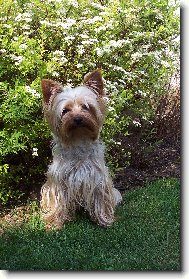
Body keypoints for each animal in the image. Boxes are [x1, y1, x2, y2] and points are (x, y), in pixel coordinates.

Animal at [40, 70, 122, 230]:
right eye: (65, 111)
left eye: (86, 107)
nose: (77, 119)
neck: (78, 139)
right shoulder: (59, 182)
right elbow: (58, 202)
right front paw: (55, 223)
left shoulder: (98, 178)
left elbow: (101, 200)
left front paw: (104, 220)